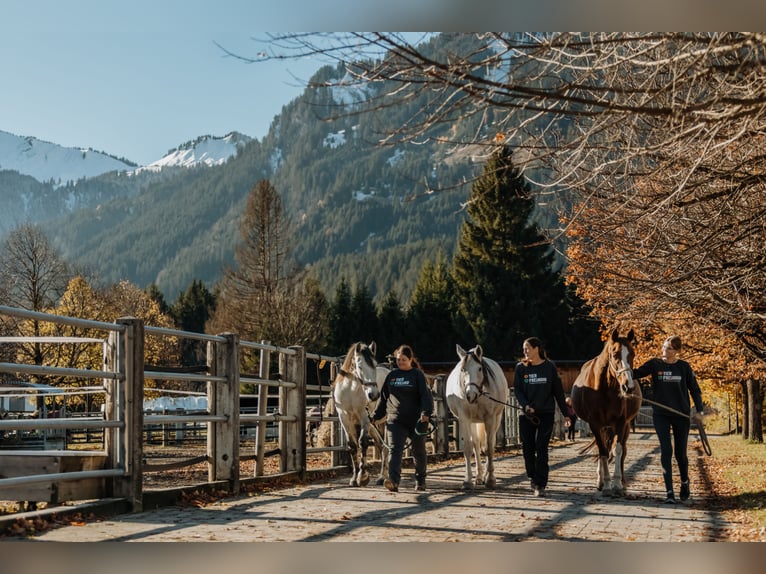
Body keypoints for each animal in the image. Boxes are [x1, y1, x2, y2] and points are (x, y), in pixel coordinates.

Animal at [332, 344, 390, 488]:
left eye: (374, 364)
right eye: (359, 366)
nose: (374, 395)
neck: (350, 390)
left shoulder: (364, 417)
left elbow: (363, 443)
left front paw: (362, 477)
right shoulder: (344, 418)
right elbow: (352, 445)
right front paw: (353, 479)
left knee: (387, 448)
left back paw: (384, 478)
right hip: (374, 425)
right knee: (381, 445)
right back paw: (381, 477)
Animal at [448, 346, 508, 490]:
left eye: (480, 368)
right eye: (463, 369)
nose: (470, 395)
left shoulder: (490, 418)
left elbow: (489, 448)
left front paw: (491, 479)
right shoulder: (464, 419)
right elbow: (468, 448)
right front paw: (467, 481)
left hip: (496, 419)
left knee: (488, 443)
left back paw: (485, 476)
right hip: (473, 422)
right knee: (476, 444)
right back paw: (479, 477)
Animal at [572, 330, 644, 498]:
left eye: (632, 353)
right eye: (615, 354)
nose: (628, 387)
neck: (604, 389)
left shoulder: (621, 423)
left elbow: (617, 450)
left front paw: (616, 483)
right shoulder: (595, 424)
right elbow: (603, 451)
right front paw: (605, 483)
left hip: (622, 428)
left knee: (622, 450)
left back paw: (622, 481)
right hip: (604, 427)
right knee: (603, 448)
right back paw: (601, 480)